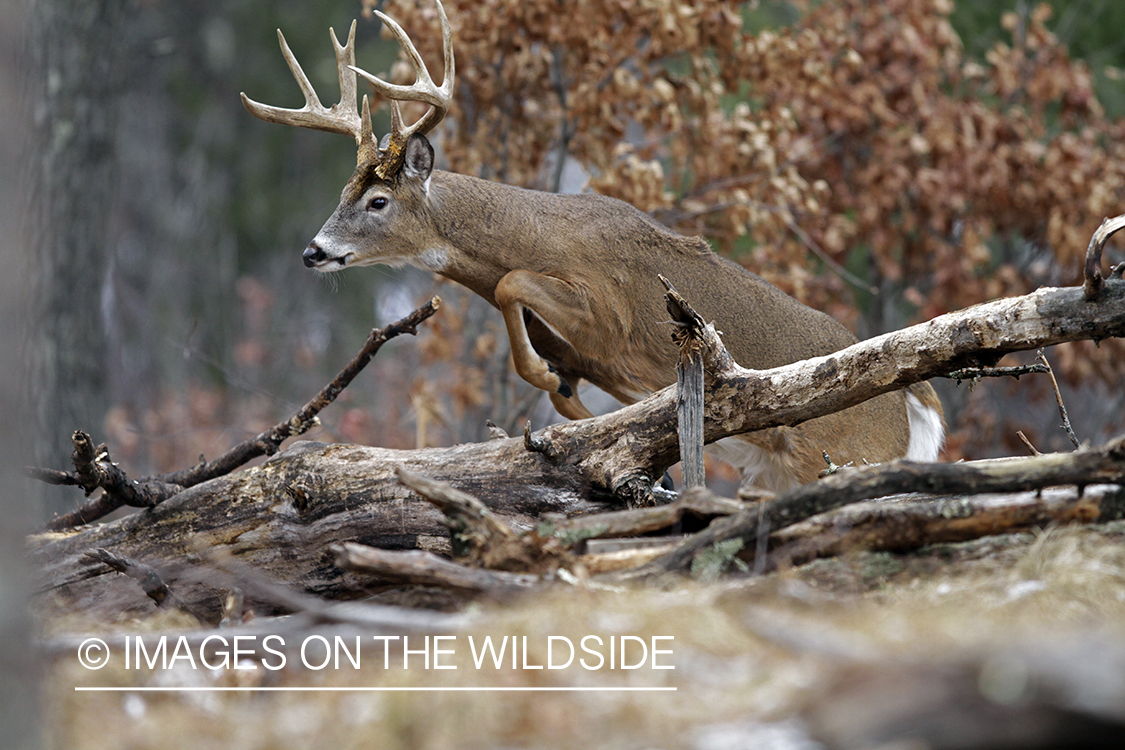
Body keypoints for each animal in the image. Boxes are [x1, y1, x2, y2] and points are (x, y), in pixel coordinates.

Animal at [241, 0, 945, 494]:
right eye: (343, 190)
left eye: (378, 202)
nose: (313, 251)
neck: (540, 234)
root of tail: (918, 400)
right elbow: (560, 383)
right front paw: (591, 427)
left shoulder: (610, 315)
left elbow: (512, 287)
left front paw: (551, 388)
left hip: (846, 451)